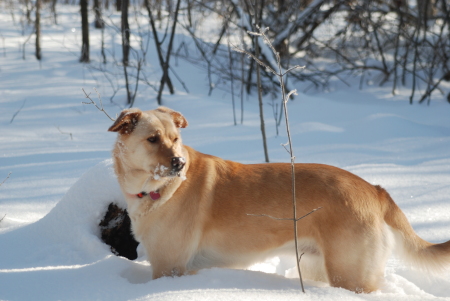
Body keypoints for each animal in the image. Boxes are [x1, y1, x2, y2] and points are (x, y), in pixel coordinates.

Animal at [110, 106, 450, 292]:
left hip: (350, 274)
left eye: (175, 139)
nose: (179, 163)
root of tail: (375, 188)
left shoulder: (169, 268)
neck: (156, 189)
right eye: (152, 139)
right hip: (319, 266)